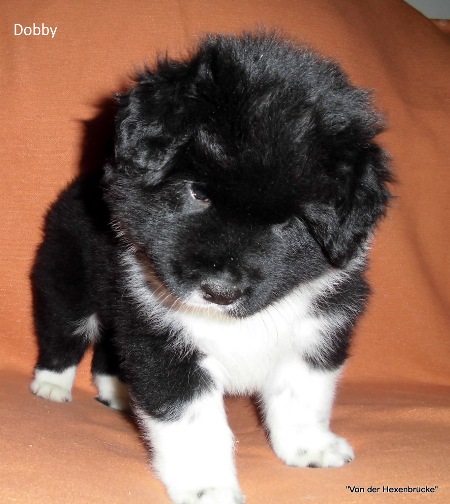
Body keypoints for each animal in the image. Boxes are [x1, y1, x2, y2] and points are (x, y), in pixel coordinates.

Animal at [30, 32, 391, 504]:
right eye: (198, 193)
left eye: (290, 222)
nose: (220, 291)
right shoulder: (163, 340)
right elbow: (195, 425)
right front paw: (209, 487)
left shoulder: (318, 330)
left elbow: (303, 396)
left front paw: (310, 448)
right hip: (67, 276)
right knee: (66, 329)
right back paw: (52, 386)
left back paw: (117, 391)